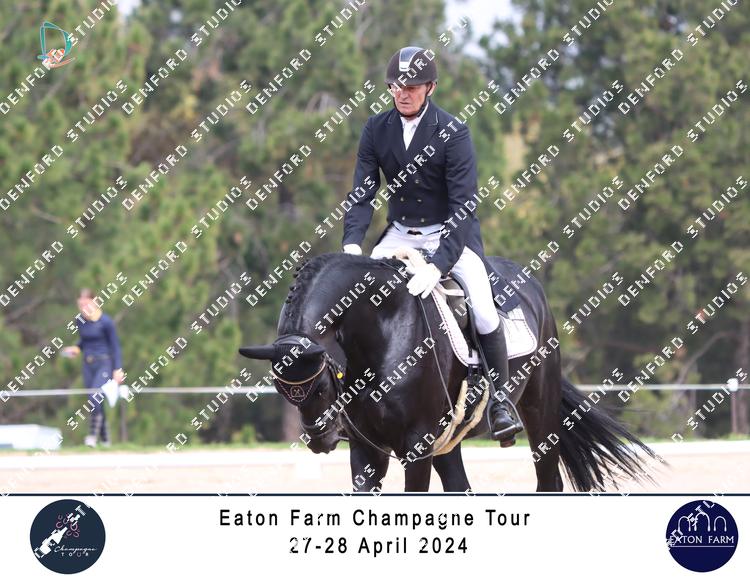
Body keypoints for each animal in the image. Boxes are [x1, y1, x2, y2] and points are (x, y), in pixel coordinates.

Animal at [239, 252, 658, 492]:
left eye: (323, 387)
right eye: (283, 391)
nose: (320, 440)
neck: (381, 326)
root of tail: (530, 283)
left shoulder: (417, 443)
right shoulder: (367, 448)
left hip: (539, 412)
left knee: (548, 481)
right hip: (449, 436)